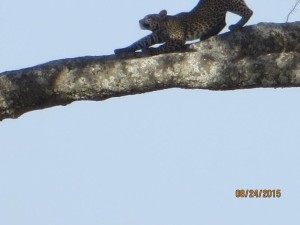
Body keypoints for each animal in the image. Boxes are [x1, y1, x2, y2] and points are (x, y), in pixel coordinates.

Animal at [115, 0, 253, 55]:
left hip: (232, 3)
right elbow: (139, 42)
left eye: (148, 17)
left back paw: (236, 25)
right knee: (222, 22)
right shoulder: (155, 36)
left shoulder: (177, 39)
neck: (161, 27)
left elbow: (162, 47)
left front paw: (151, 50)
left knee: (248, 11)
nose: (139, 21)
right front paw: (121, 49)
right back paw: (207, 34)